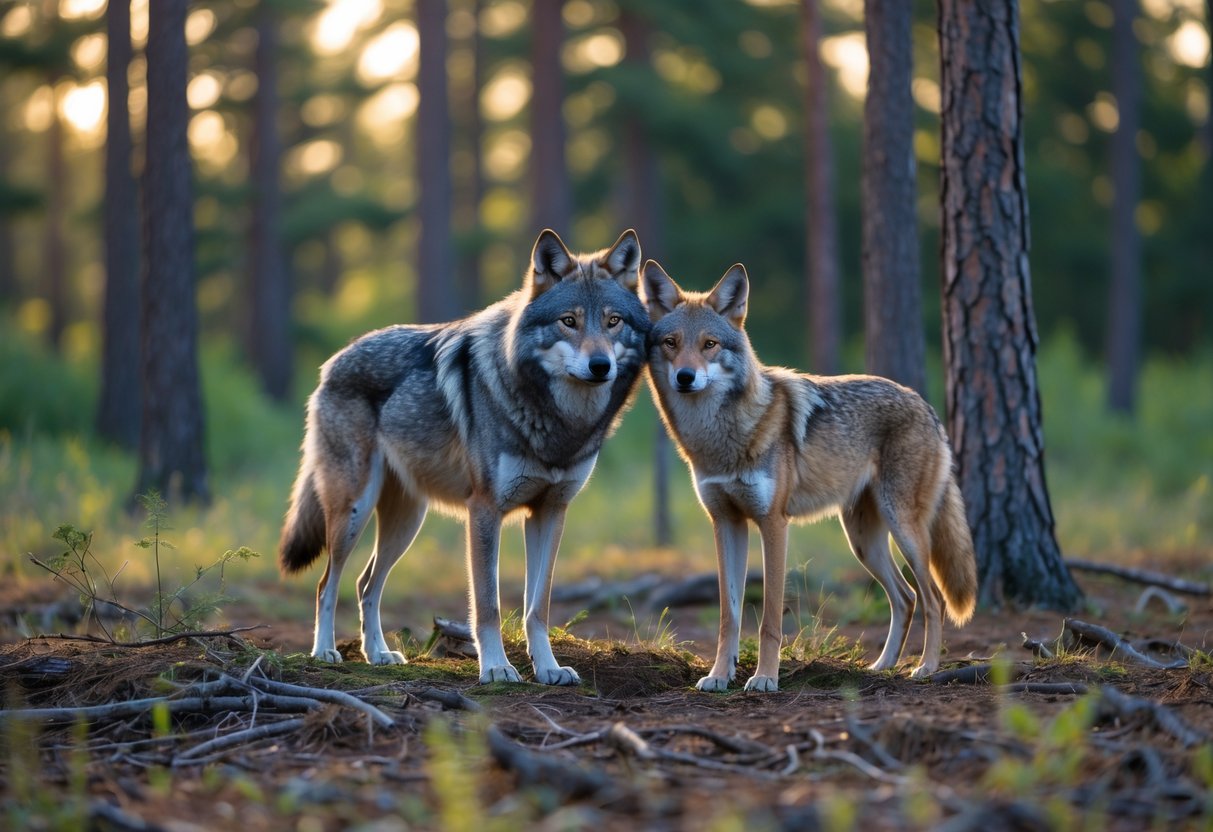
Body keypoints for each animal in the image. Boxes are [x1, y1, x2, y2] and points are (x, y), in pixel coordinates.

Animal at [279, 229, 648, 685]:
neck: (558, 422)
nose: (600, 366)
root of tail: (333, 360)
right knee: (326, 583)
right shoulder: (484, 511)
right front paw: (496, 668)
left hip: (406, 524)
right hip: (353, 511)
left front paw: (548, 668)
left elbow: (538, 608)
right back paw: (325, 651)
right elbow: (488, 605)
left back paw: (378, 654)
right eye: (569, 321)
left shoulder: (550, 512)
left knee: (366, 584)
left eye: (613, 321)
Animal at [642, 260, 977, 691]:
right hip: (863, 542)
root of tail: (925, 404)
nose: (685, 376)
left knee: (932, 598)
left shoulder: (773, 523)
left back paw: (927, 667)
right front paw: (719, 676)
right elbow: (728, 615)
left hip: (904, 531)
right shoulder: (726, 523)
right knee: (905, 598)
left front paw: (764, 678)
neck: (719, 439)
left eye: (709, 345)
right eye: (671, 342)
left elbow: (769, 618)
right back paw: (882, 666)